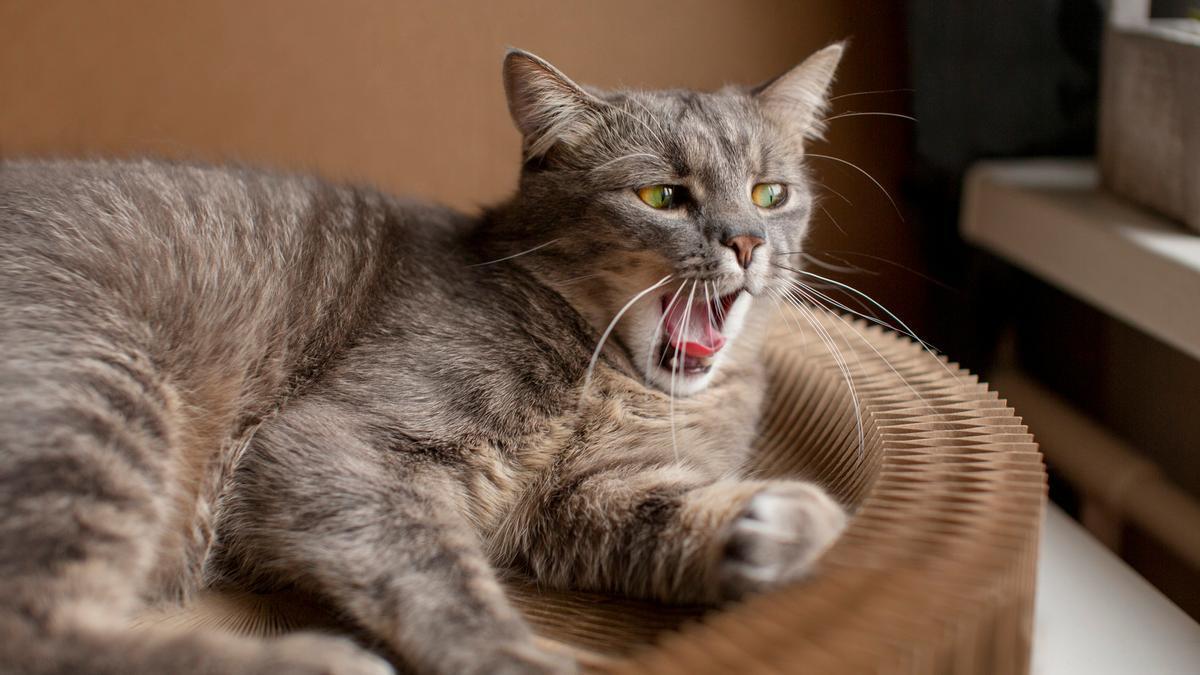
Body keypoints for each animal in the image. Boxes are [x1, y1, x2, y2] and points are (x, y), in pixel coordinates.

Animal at [0, 44, 844, 667]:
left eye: (770, 194)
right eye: (663, 196)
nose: (748, 242)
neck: (617, 382)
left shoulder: (580, 500)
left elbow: (664, 514)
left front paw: (786, 523)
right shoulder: (335, 445)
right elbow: (438, 573)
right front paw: (513, 655)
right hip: (95, 394)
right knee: (38, 632)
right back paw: (319, 662)